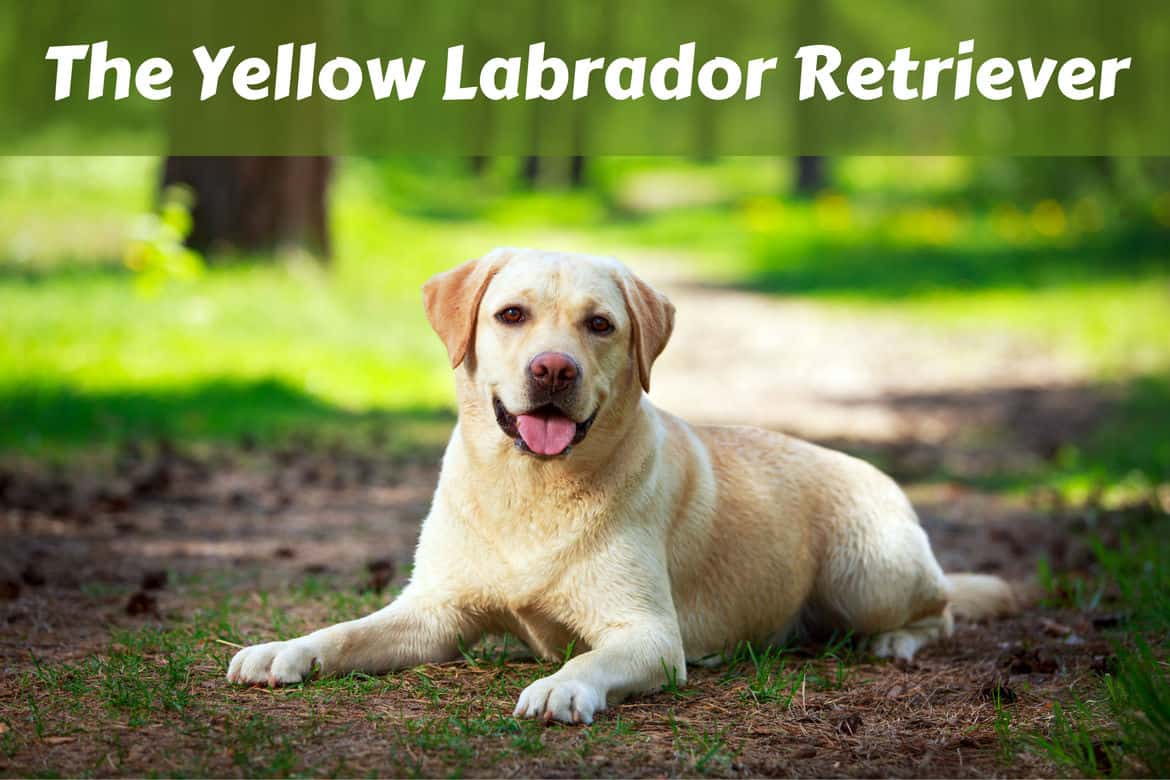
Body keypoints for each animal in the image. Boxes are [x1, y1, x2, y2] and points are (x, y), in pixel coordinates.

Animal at [225, 249, 1015, 725]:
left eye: (599, 325)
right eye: (510, 314)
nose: (553, 369)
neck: (530, 489)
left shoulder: (647, 633)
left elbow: (590, 655)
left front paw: (561, 684)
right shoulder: (433, 612)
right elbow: (347, 630)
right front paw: (284, 649)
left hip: (867, 574)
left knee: (940, 611)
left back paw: (897, 641)